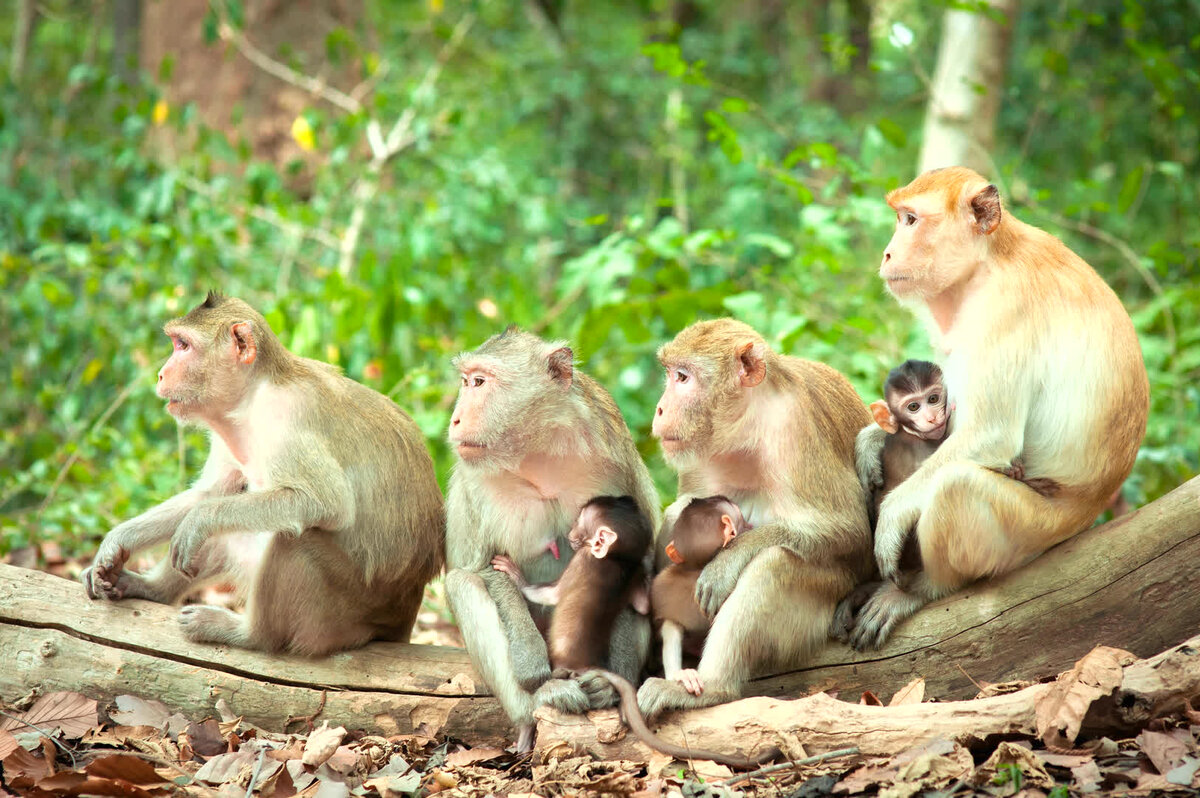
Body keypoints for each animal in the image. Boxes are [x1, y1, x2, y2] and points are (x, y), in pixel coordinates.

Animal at [81, 292, 446, 652]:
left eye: (183, 346)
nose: (160, 374)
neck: (253, 398)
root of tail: (400, 620)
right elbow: (210, 493)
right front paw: (118, 541)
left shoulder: (289, 415)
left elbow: (326, 503)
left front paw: (198, 520)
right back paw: (152, 589)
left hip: (341, 615)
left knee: (293, 537)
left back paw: (250, 635)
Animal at [492, 499, 652, 672]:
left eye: (578, 522)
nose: (569, 532)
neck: (617, 558)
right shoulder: (635, 571)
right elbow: (643, 606)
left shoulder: (582, 558)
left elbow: (553, 594)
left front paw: (516, 576)